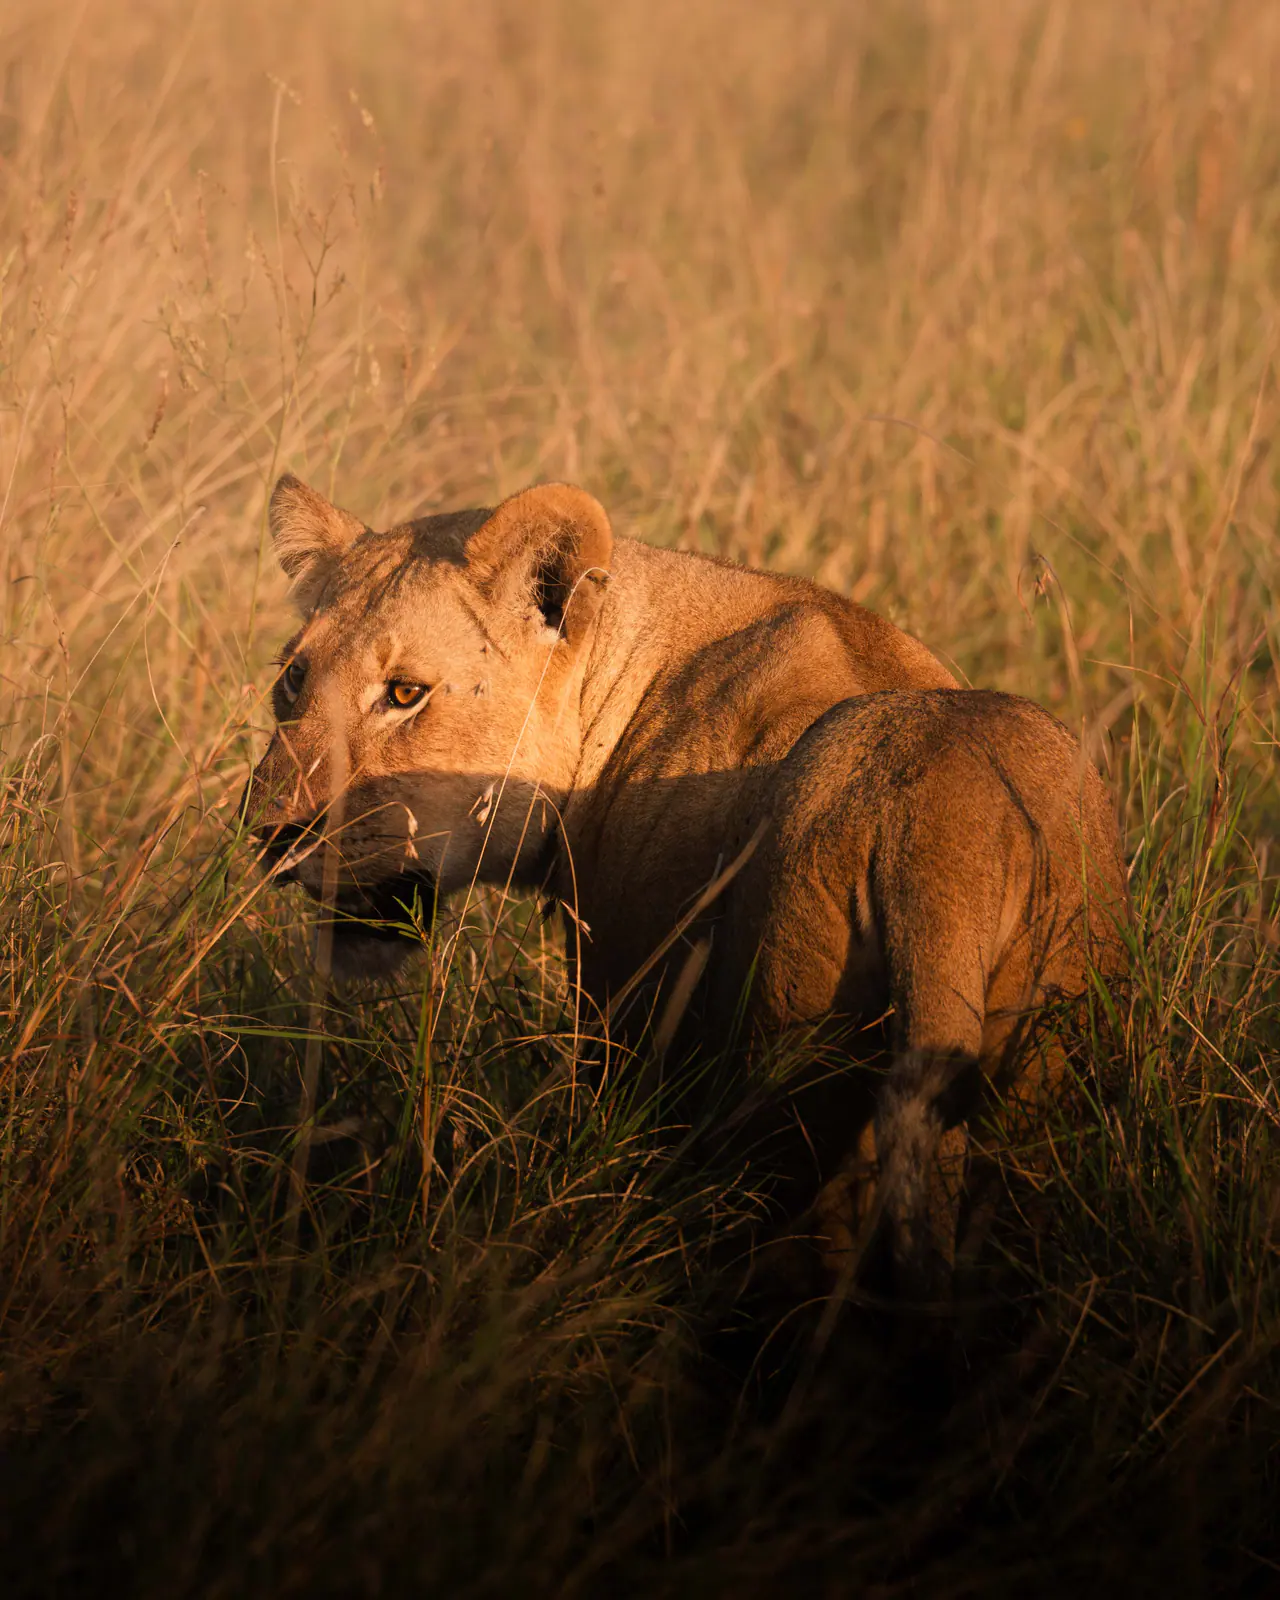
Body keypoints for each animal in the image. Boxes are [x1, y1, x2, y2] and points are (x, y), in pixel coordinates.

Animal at [244, 475, 1129, 1298]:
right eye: (293, 679)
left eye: (404, 694)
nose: (270, 834)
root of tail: (941, 836)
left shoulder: (627, 1017)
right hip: (1042, 1082)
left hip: (786, 1072)